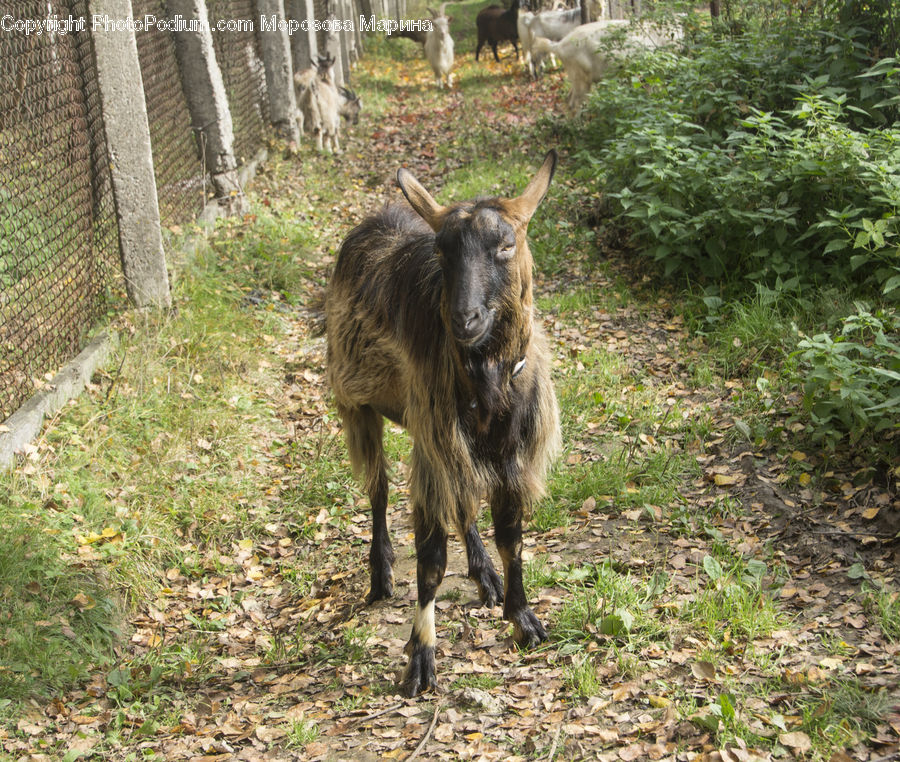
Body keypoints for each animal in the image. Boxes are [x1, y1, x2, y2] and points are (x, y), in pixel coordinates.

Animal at [325, 151, 561, 697]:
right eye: (441, 250)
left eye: (506, 244)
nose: (464, 319)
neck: (489, 378)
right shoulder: (434, 435)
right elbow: (430, 562)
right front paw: (421, 658)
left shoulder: (508, 452)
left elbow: (511, 536)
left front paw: (522, 617)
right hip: (360, 405)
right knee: (378, 489)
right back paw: (380, 575)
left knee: (461, 503)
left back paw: (484, 574)